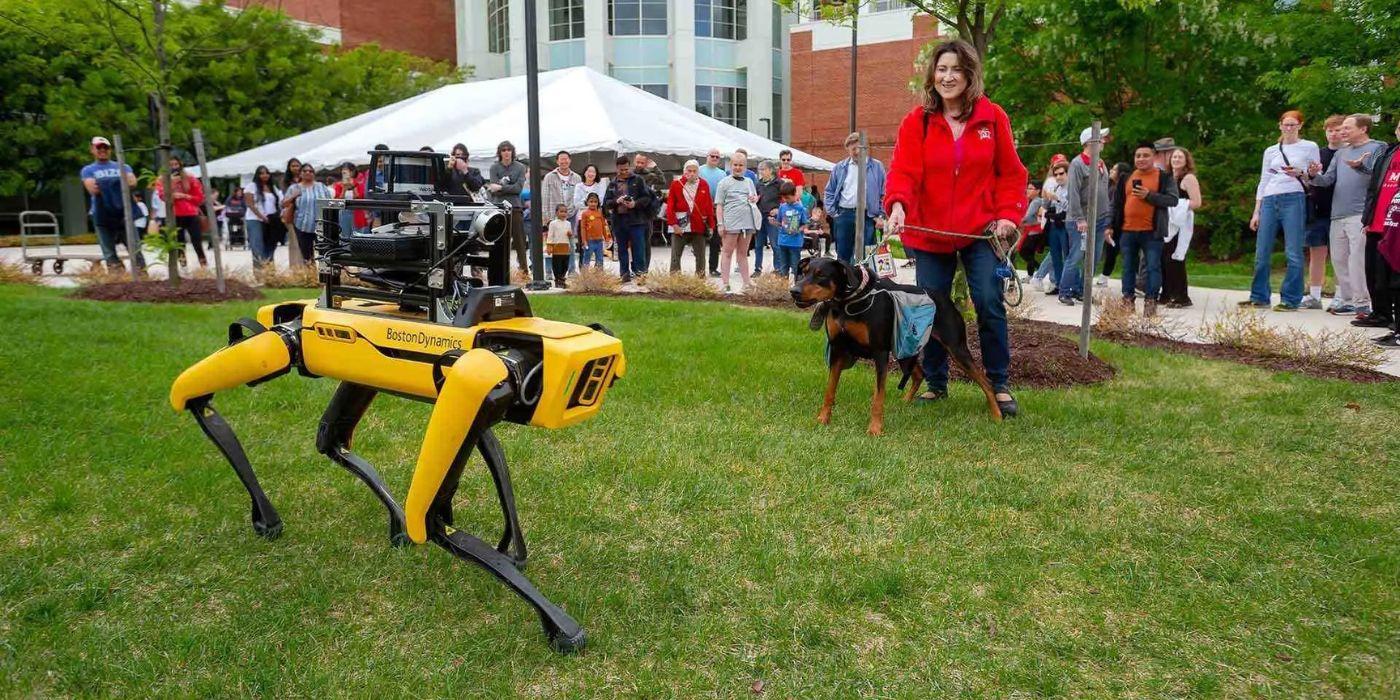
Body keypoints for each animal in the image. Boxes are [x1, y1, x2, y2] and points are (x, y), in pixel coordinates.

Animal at [166, 150, 621, 652]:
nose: (598, 366)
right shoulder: (472, 381)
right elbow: (436, 515)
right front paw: (555, 620)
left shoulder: (472, 389)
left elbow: (457, 491)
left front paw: (512, 559)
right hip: (292, 341)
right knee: (244, 391)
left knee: (331, 439)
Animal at [789, 254, 1008, 434]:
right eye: (804, 272)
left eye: (821, 275)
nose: (794, 291)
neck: (848, 301)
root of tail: (947, 299)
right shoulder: (837, 349)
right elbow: (830, 390)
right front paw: (822, 419)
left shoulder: (879, 352)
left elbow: (878, 396)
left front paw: (875, 429)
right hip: (904, 346)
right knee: (919, 374)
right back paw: (904, 402)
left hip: (956, 347)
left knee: (986, 382)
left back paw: (997, 416)